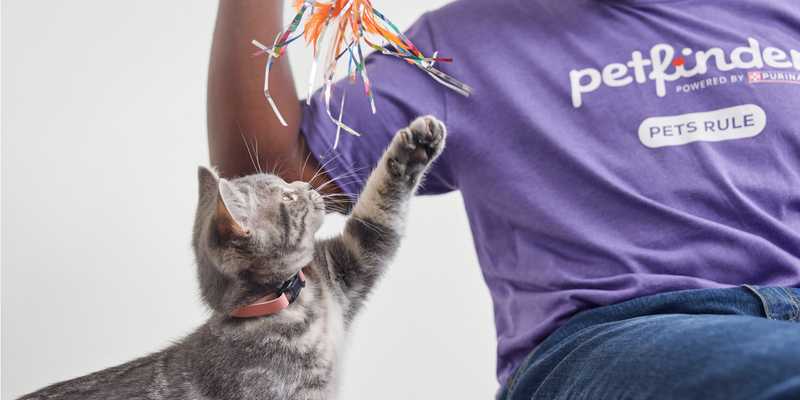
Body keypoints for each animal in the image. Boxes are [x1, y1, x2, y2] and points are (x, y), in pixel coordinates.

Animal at [18, 115, 446, 400]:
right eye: (287, 196)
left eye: (286, 183)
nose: (306, 184)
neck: (294, 305)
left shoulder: (348, 263)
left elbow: (380, 210)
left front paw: (415, 144)